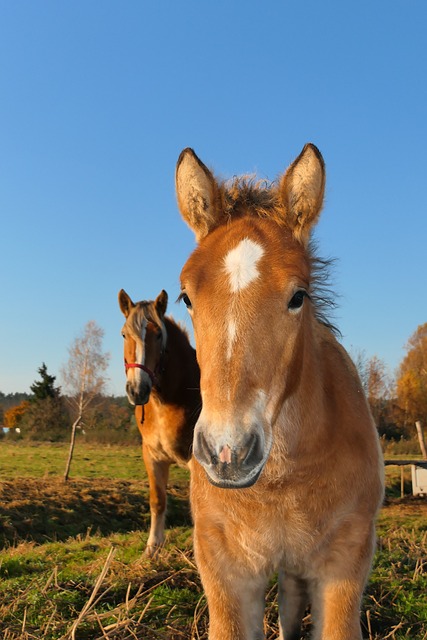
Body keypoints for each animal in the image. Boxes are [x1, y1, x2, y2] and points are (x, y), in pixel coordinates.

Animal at [118, 290, 201, 556]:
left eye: (158, 335)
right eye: (124, 334)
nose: (137, 390)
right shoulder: (153, 456)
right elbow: (158, 500)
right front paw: (153, 546)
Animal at [176, 146, 386, 640]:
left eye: (298, 296)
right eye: (186, 297)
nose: (228, 453)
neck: (279, 483)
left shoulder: (344, 564)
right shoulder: (227, 571)